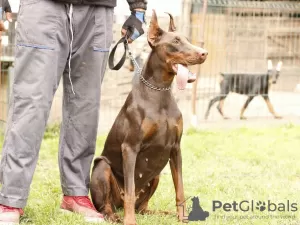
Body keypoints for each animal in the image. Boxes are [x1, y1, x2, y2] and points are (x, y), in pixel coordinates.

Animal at [90, 9, 207, 224]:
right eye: (176, 41)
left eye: (187, 39)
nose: (204, 53)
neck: (160, 92)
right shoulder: (130, 147)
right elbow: (129, 190)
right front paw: (129, 221)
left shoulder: (175, 148)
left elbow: (180, 188)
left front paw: (182, 217)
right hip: (101, 166)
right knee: (108, 205)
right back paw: (114, 216)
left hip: (157, 175)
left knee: (142, 207)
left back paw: (161, 213)